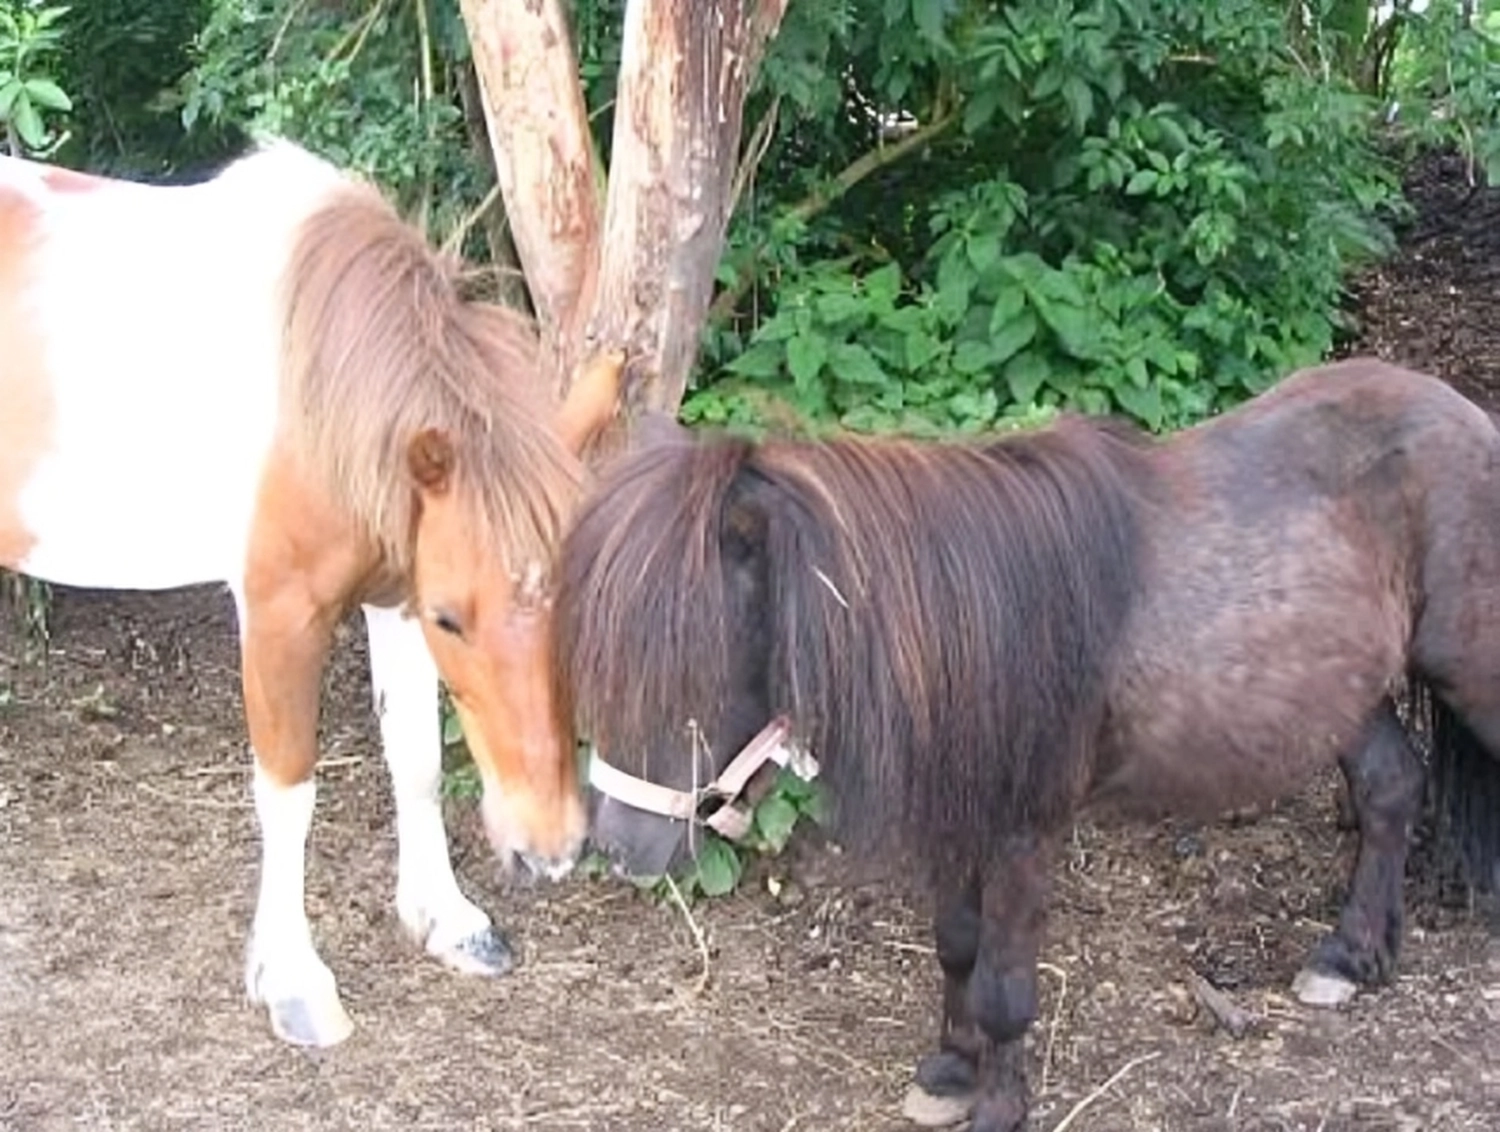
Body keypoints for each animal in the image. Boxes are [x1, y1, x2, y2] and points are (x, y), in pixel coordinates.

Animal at [1, 146, 615, 1049]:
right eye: (454, 618)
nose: (551, 850)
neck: (314, 400)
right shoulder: (282, 615)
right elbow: (289, 794)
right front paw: (293, 980)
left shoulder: (392, 598)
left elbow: (416, 760)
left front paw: (447, 920)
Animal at [558, 361, 1500, 1132]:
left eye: (695, 666)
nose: (620, 847)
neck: (964, 626)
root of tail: (1463, 413)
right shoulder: (956, 815)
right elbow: (957, 946)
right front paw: (948, 1072)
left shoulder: (1020, 830)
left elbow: (1005, 986)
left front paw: (998, 1107)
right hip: (1344, 690)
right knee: (1390, 788)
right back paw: (1350, 957)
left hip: (1466, 673)